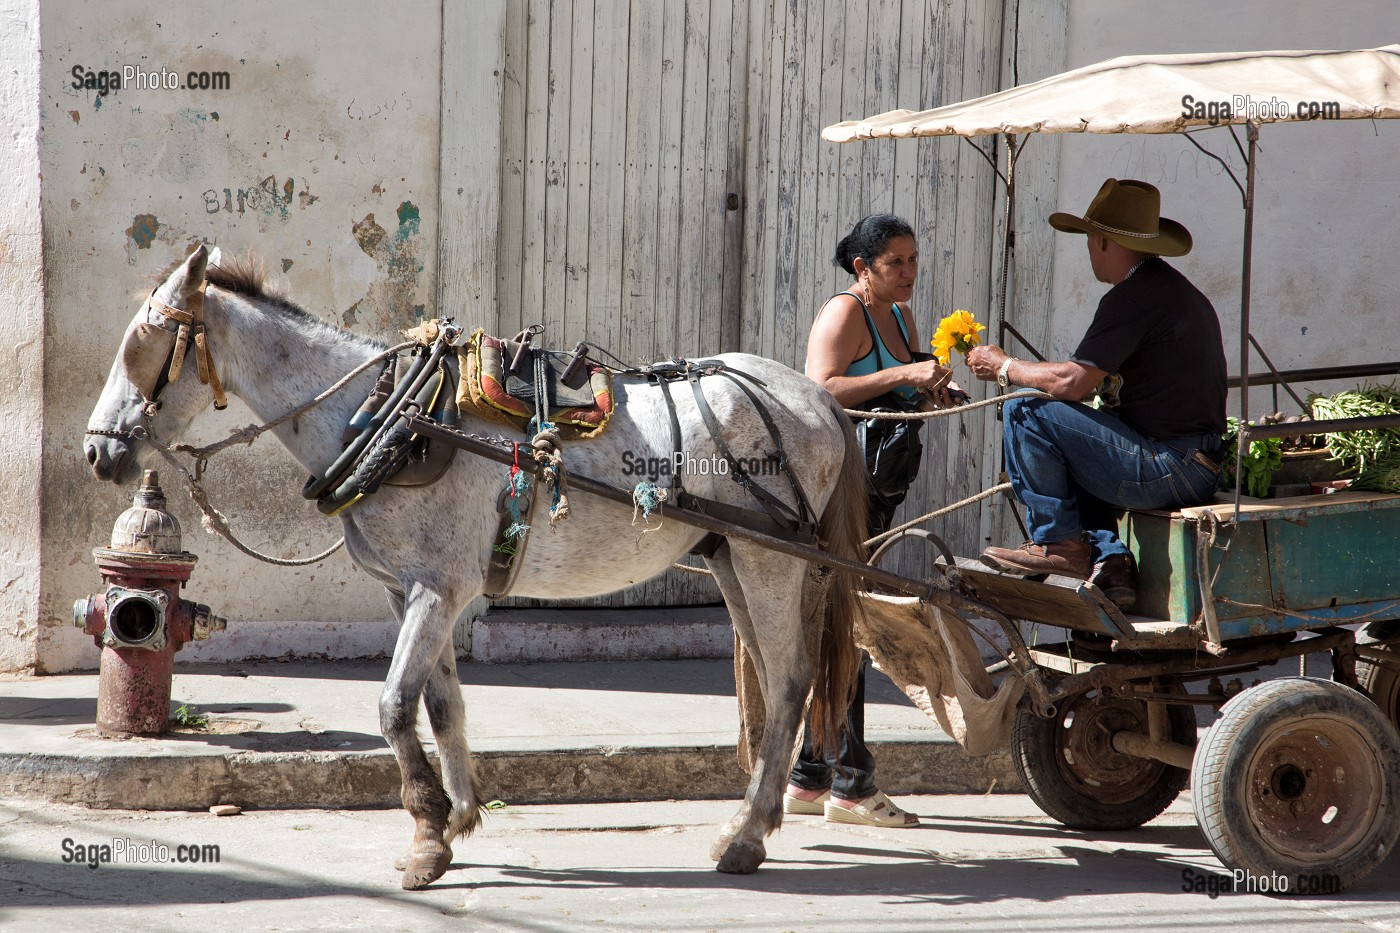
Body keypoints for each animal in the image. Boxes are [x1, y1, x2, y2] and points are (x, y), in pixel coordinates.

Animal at [83, 245, 870, 890]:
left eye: (144, 345)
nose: (98, 452)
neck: (390, 417)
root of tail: (817, 397)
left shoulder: (438, 588)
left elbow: (393, 705)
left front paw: (428, 833)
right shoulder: (412, 592)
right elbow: (440, 704)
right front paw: (455, 819)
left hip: (771, 561)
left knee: (792, 680)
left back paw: (746, 838)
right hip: (735, 558)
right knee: (774, 679)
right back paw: (750, 823)